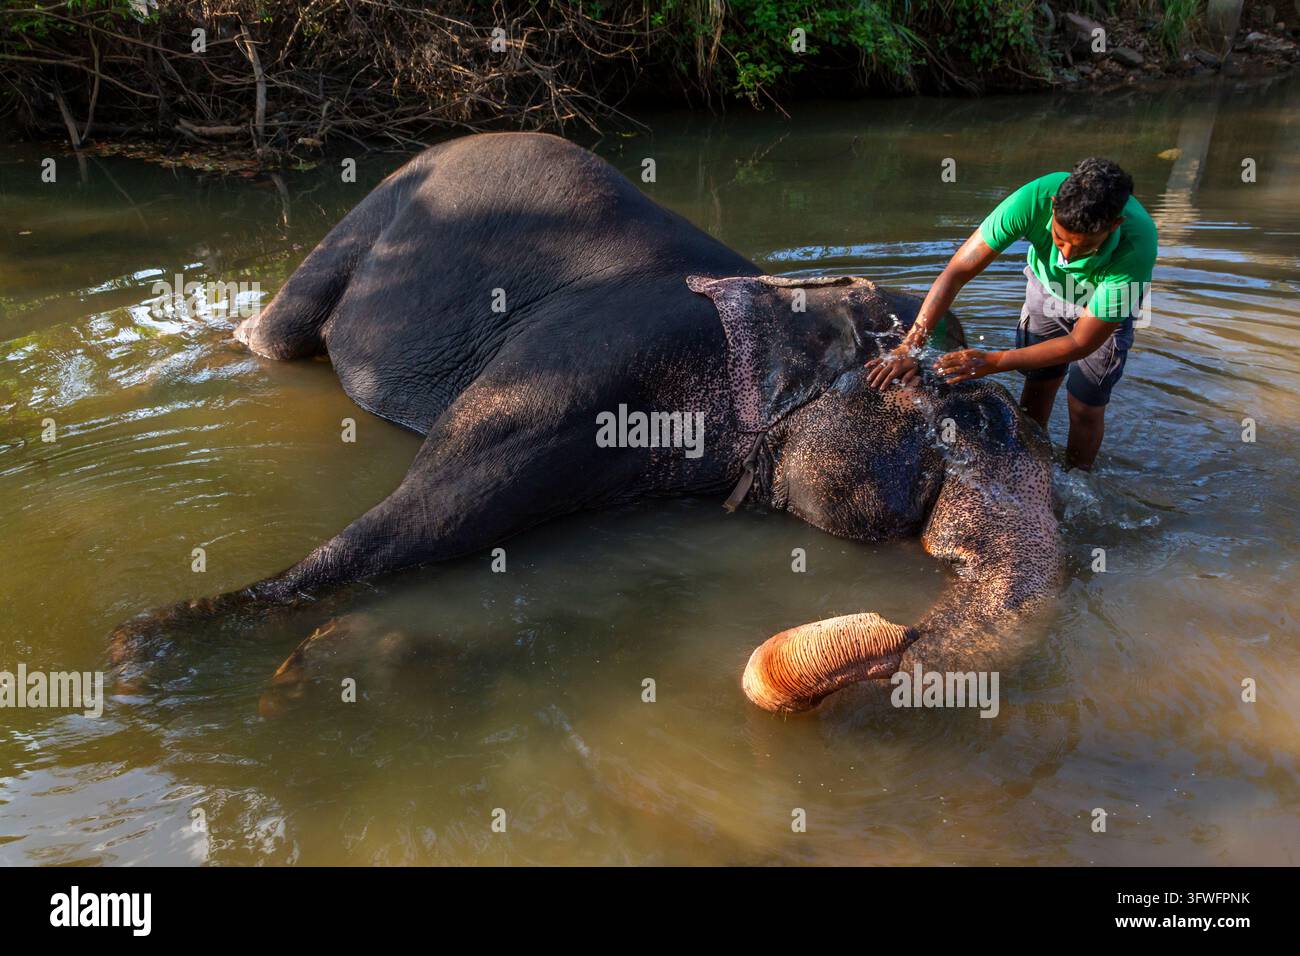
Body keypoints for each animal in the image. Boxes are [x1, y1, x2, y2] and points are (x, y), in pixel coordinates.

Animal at [109, 131, 1063, 715]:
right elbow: (434, 512)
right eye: (957, 419)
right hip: (366, 214)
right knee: (275, 339)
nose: (890, 627)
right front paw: (151, 643)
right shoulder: (582, 371)